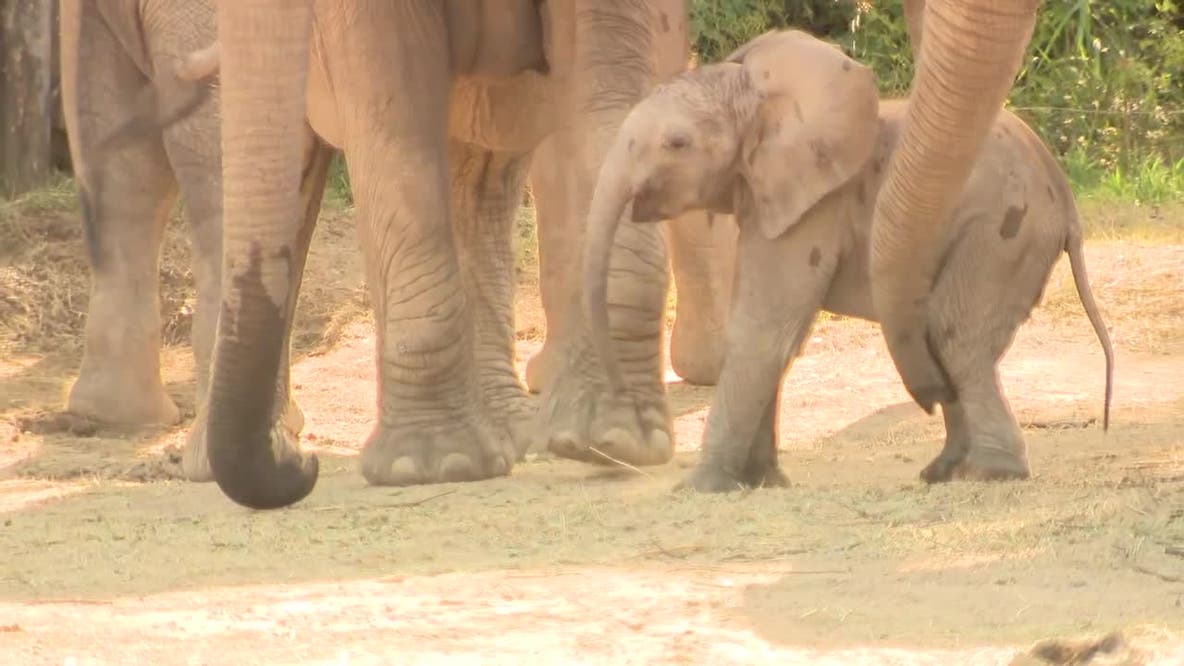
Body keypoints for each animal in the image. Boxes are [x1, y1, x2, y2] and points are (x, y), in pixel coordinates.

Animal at [582, 30, 1114, 491]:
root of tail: (1063, 195)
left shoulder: (818, 204)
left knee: (954, 335)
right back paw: (942, 472)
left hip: (1002, 233)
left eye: (676, 144)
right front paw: (762, 483)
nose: (618, 434)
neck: (752, 91)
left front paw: (701, 488)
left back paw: (988, 474)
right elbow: (777, 333)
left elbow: (761, 329)